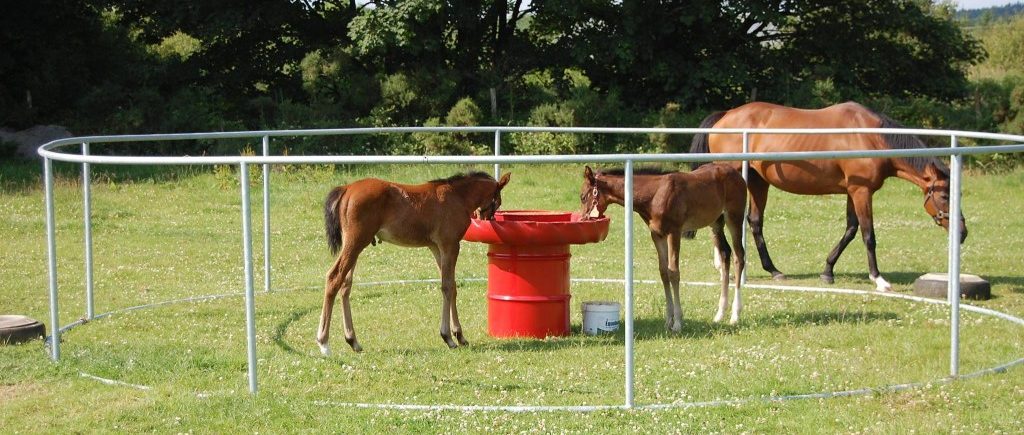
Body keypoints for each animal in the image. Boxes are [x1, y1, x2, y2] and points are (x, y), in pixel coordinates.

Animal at [317, 170, 509, 354]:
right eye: (498, 201)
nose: (487, 220)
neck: (457, 196)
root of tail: (347, 189)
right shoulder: (450, 245)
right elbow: (447, 287)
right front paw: (448, 337)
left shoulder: (436, 247)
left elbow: (452, 286)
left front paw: (459, 335)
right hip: (356, 242)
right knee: (334, 277)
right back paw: (324, 342)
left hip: (354, 245)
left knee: (345, 284)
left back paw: (353, 341)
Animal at [581, 163, 749, 329]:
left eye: (583, 197)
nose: (583, 218)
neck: (654, 194)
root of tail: (736, 173)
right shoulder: (657, 235)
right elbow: (663, 272)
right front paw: (669, 320)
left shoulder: (674, 232)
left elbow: (674, 272)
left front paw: (678, 322)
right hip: (716, 223)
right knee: (725, 253)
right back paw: (720, 315)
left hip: (734, 217)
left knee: (739, 256)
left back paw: (735, 315)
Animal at [688, 100, 966, 290]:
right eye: (944, 196)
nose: (962, 233)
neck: (871, 137)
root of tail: (725, 116)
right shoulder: (862, 192)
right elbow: (868, 235)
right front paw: (878, 279)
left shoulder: (853, 192)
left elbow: (851, 230)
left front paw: (828, 271)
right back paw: (723, 261)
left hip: (758, 181)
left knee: (754, 222)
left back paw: (772, 270)